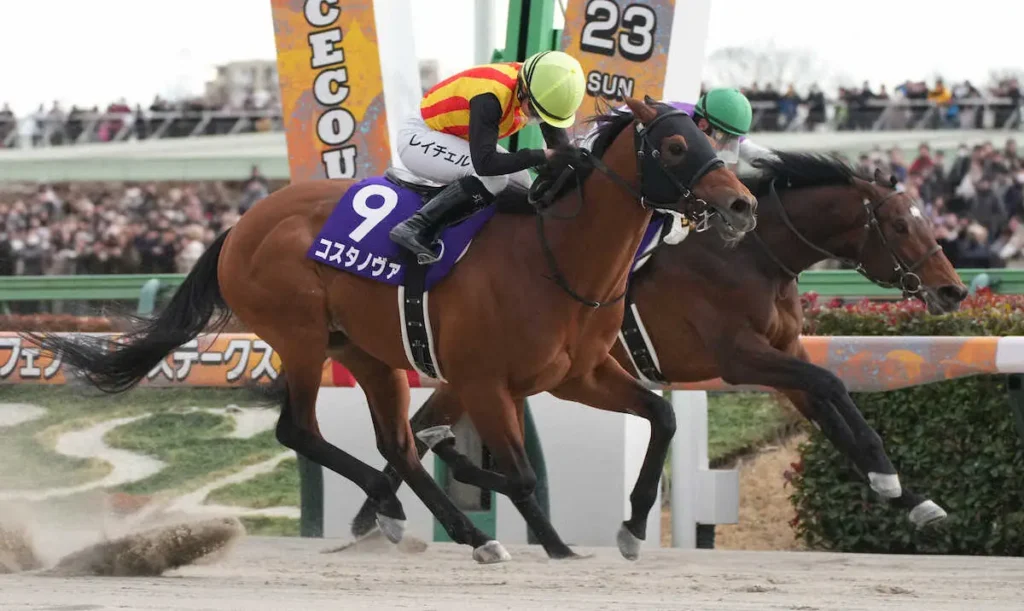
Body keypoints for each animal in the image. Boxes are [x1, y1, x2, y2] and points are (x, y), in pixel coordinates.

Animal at [23, 97, 758, 565]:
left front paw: (630, 529)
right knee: (301, 431)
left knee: (395, 443)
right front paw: (552, 541)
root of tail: (242, 223)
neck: (556, 255)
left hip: (367, 352)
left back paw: (436, 523)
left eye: (711, 141)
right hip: (301, 338)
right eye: (675, 144)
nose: (742, 205)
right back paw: (423, 518)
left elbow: (662, 416)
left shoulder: (577, 374)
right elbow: (520, 474)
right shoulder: (483, 380)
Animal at [347, 150, 968, 556]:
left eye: (922, 219)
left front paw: (912, 498)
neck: (751, 256)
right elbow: (835, 385)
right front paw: (891, 483)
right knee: (418, 429)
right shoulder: (738, 357)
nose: (953, 290)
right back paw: (381, 515)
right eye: (897, 224)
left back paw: (379, 512)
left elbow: (833, 411)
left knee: (420, 428)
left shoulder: (782, 356)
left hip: (476, 374)